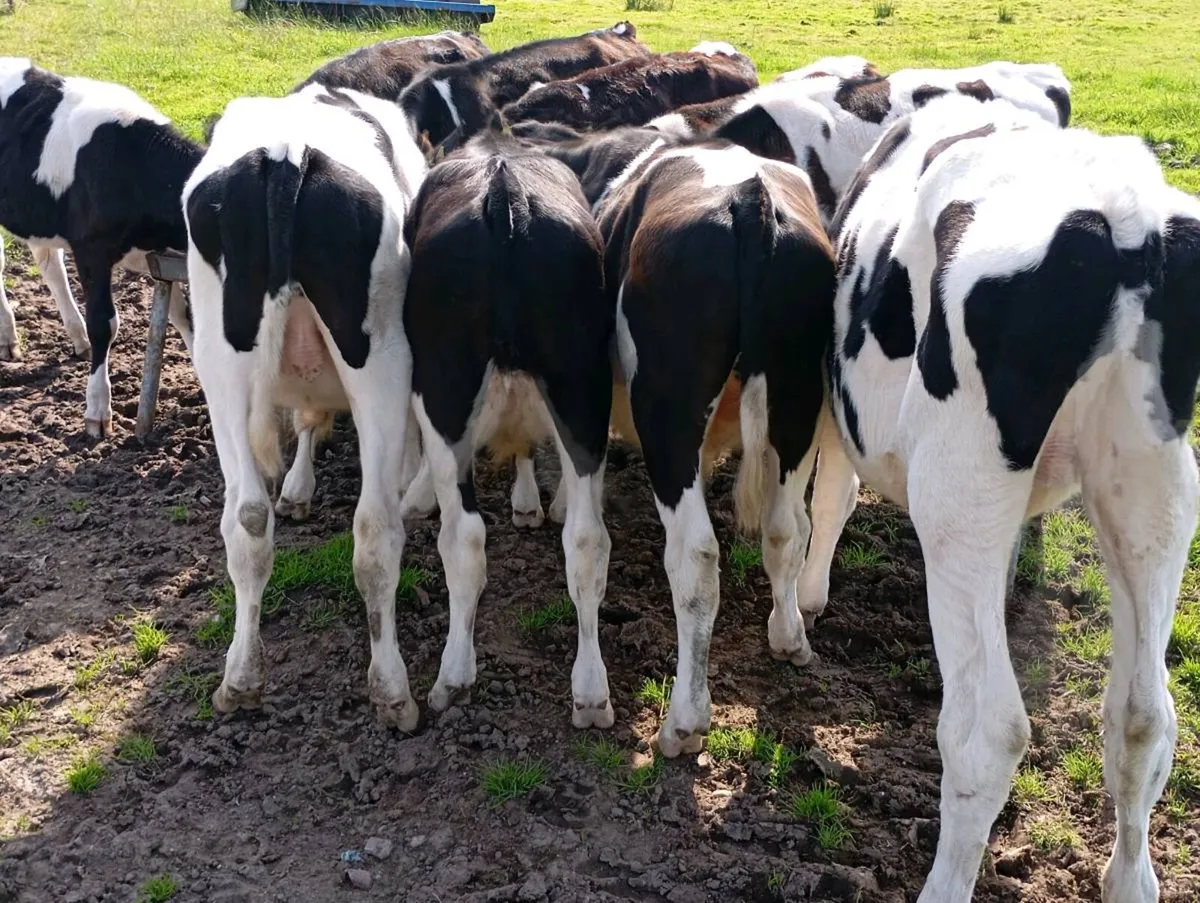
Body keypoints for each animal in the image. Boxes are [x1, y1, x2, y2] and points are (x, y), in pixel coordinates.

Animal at [0, 58, 200, 435]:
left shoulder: (159, 255)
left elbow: (185, 318)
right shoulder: (92, 250)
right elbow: (104, 322)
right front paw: (97, 410)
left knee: (49, 262)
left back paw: (75, 339)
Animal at [181, 86, 427, 728]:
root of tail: (286, 154)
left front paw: (295, 488)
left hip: (219, 360)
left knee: (246, 519)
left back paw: (240, 678)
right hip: (383, 355)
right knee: (375, 528)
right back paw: (392, 690)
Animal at [398, 131, 615, 725]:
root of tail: (503, 187)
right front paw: (529, 502)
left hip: (443, 386)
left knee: (463, 536)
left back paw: (453, 675)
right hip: (583, 384)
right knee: (587, 538)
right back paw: (591, 692)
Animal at [806, 92, 1200, 902]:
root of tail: (1127, 220)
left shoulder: (836, 404)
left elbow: (831, 497)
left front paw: (803, 603)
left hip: (957, 488)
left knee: (988, 730)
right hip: (1152, 481)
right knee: (1143, 716)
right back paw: (1130, 879)